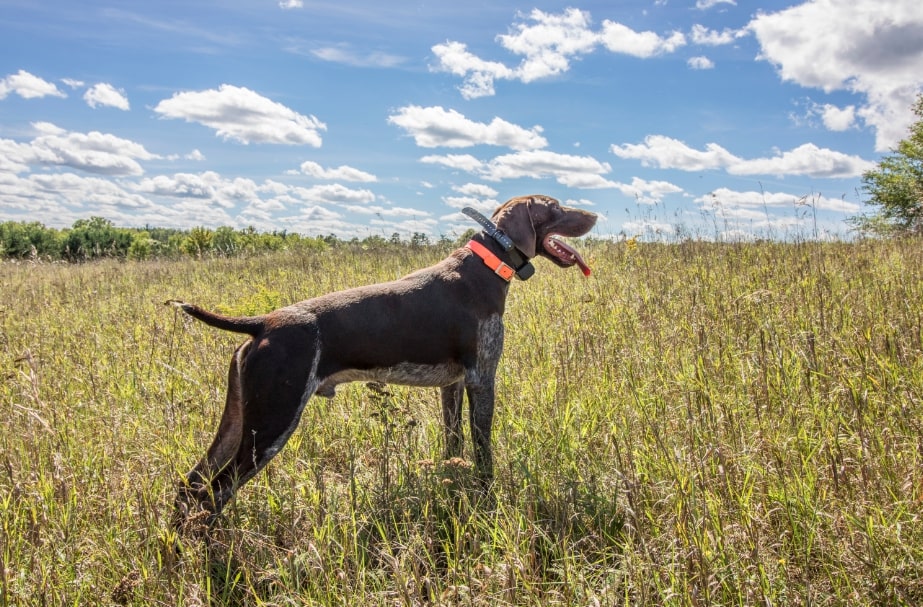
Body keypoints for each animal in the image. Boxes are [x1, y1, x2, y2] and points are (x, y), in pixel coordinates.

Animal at [170, 196, 596, 528]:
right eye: (554, 206)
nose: (594, 215)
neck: (488, 266)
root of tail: (261, 323)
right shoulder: (481, 380)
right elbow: (482, 451)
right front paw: (488, 498)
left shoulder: (453, 385)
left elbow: (454, 444)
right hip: (272, 422)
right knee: (214, 493)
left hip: (239, 419)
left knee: (191, 484)